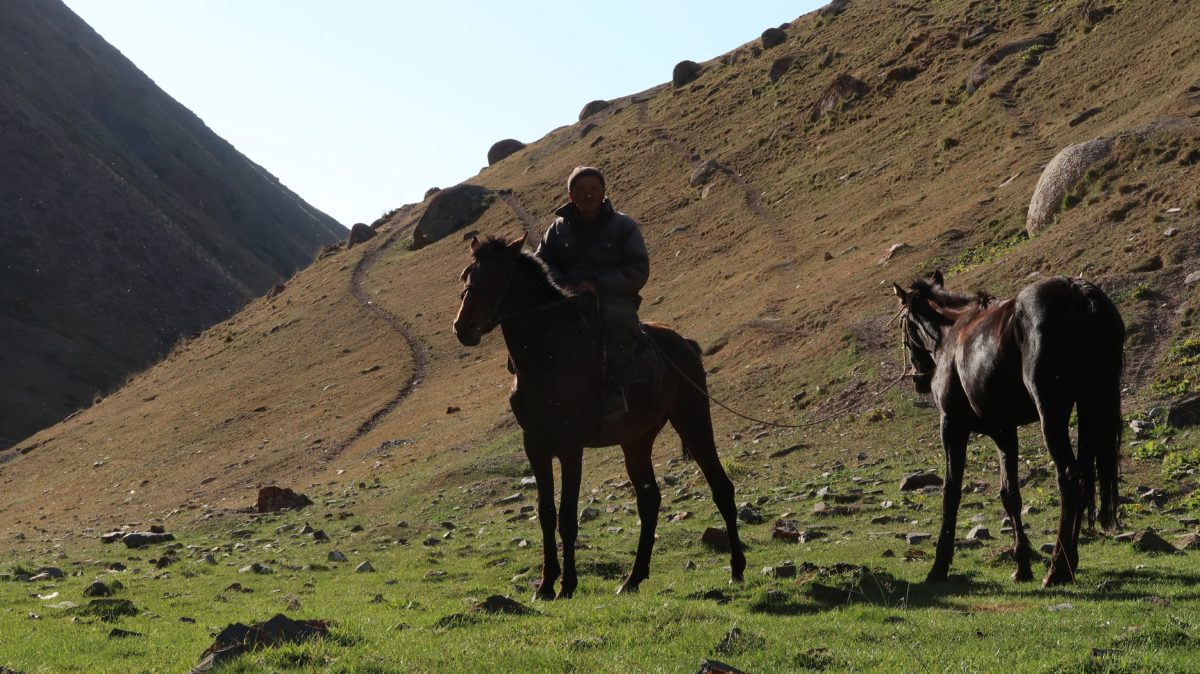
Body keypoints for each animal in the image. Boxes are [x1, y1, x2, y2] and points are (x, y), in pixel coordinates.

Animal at [453, 233, 744, 594]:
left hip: (693, 421)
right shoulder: (535, 445)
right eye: (467, 275)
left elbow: (566, 516)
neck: (547, 357)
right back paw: (633, 578)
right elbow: (546, 513)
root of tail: (685, 345)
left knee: (721, 488)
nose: (463, 327)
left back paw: (736, 569)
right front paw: (545, 585)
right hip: (637, 441)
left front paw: (567, 586)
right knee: (649, 500)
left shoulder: (570, 446)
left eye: (497, 275)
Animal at [897, 269, 1118, 585]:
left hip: (1052, 413)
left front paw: (939, 566)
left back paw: (1057, 569)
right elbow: (1010, 494)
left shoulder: (952, 425)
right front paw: (1021, 565)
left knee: (1070, 477)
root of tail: (1079, 292)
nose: (918, 378)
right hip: (1090, 407)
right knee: (1086, 478)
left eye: (904, 324)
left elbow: (951, 492)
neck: (950, 335)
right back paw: (1069, 564)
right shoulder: (1004, 431)